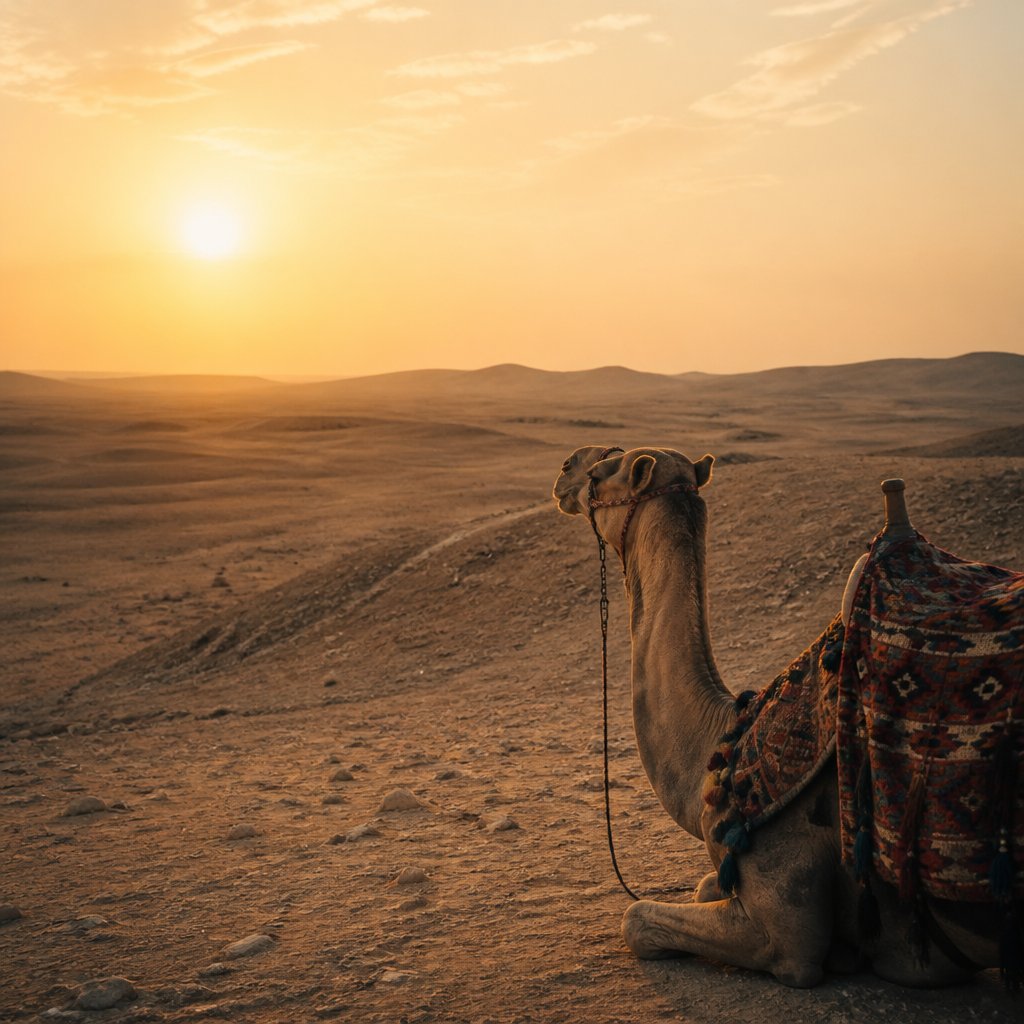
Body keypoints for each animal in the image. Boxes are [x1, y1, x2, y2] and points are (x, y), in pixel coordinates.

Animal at [552, 444, 1006, 988]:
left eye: (603, 471)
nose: (566, 469)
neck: (719, 748)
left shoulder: (787, 934)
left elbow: (637, 918)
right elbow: (705, 885)